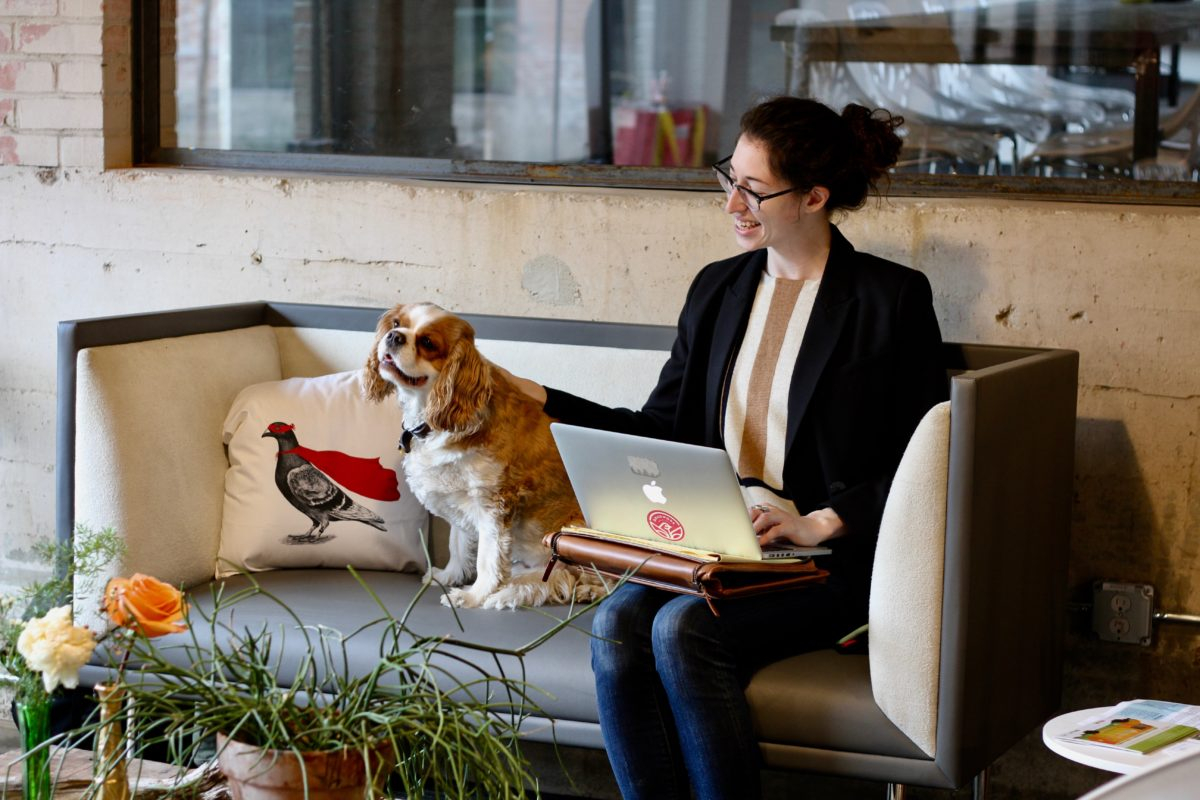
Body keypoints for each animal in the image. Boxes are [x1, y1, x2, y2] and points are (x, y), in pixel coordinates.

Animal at [362, 303, 609, 609]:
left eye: (428, 343)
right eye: (396, 323)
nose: (394, 337)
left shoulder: (493, 502)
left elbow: (488, 559)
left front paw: (473, 595)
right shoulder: (460, 497)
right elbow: (457, 545)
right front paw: (449, 576)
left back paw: (586, 591)